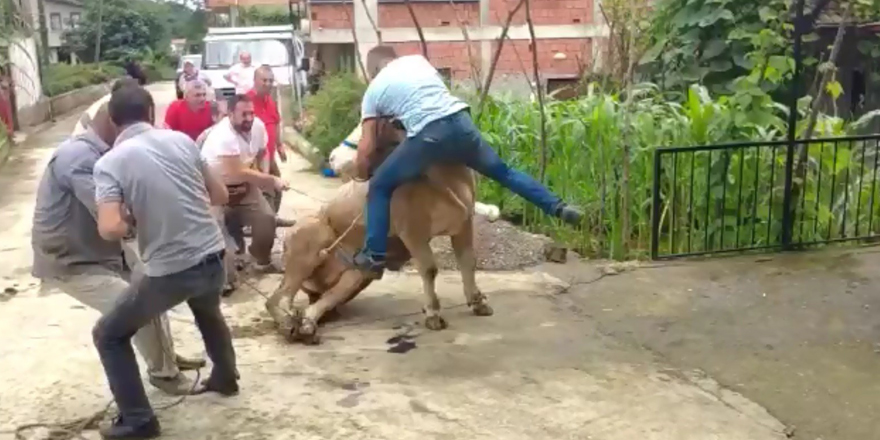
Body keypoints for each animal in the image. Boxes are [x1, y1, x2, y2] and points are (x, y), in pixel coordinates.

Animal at [262, 125, 496, 342]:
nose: (333, 156)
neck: (446, 177)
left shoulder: (464, 222)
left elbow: (468, 261)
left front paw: (478, 302)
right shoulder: (412, 230)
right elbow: (429, 269)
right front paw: (433, 314)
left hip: (360, 274)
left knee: (321, 303)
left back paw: (306, 326)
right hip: (310, 244)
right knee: (277, 299)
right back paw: (288, 324)